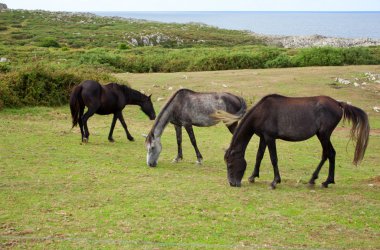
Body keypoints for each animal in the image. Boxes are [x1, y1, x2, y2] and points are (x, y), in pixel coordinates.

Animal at [218, 94, 370, 188]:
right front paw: (253, 177)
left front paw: (275, 182)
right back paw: (315, 179)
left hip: (324, 135)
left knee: (330, 153)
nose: (232, 183)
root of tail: (338, 103)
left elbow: (273, 158)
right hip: (322, 135)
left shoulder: (270, 138)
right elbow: (259, 156)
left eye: (230, 164)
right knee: (327, 154)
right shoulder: (263, 137)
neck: (262, 112)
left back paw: (327, 181)